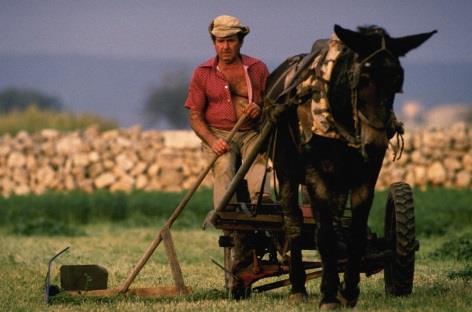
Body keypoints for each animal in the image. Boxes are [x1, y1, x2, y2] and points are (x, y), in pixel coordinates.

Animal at [262, 25, 436, 308]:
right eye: (361, 77)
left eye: (398, 81)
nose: (375, 143)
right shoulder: (315, 174)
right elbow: (325, 235)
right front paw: (329, 295)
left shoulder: (366, 175)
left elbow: (353, 233)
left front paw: (348, 291)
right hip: (285, 171)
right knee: (294, 222)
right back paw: (298, 286)